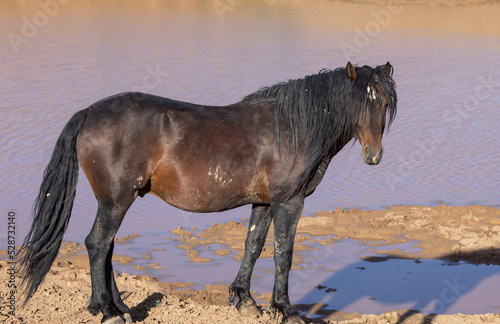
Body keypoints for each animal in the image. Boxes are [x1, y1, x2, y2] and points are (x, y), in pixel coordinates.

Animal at [19, 61, 398, 324]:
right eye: (358, 103)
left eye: (383, 105)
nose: (374, 155)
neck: (292, 128)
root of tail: (89, 113)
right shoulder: (289, 201)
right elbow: (284, 254)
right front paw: (287, 310)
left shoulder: (263, 202)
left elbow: (253, 245)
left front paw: (246, 301)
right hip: (115, 201)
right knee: (98, 245)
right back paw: (108, 312)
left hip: (114, 202)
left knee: (106, 248)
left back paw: (121, 307)